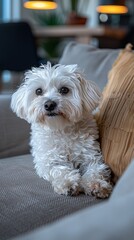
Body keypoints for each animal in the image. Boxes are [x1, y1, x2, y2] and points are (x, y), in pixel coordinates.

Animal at [11, 62, 112, 198]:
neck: (61, 129)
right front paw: (68, 183)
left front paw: (97, 185)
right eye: (38, 91)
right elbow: (59, 169)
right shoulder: (47, 162)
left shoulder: (91, 156)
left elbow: (95, 170)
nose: (49, 104)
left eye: (64, 90)